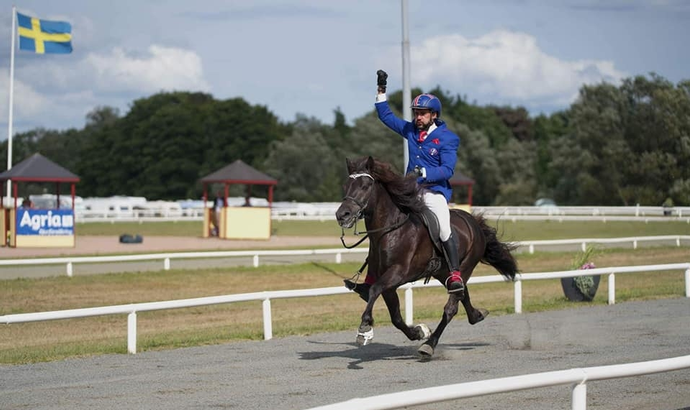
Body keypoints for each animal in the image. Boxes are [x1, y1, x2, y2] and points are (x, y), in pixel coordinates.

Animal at [334, 157, 516, 358]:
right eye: (346, 185)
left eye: (365, 186)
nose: (342, 215)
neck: (391, 230)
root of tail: (473, 221)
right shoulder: (388, 284)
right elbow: (395, 317)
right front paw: (419, 331)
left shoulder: (398, 274)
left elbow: (374, 291)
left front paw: (365, 328)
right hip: (445, 272)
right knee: (461, 292)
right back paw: (476, 315)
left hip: (466, 266)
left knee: (451, 307)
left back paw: (430, 345)